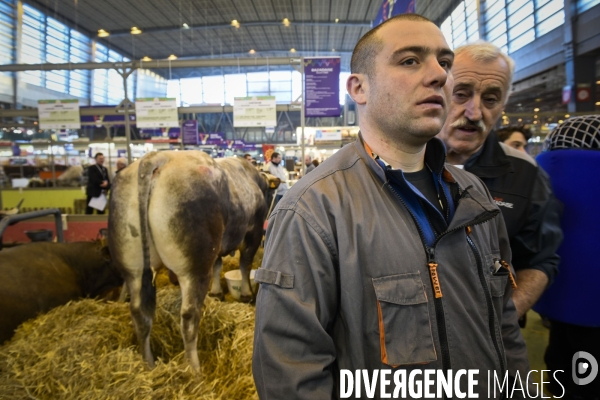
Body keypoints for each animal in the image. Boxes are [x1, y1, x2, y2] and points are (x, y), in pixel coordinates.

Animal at [108, 152, 270, 370]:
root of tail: (158, 157)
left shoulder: (217, 247)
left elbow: (219, 265)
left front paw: (217, 292)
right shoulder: (253, 232)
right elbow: (245, 265)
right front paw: (246, 294)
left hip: (134, 267)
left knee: (139, 313)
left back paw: (149, 363)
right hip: (194, 267)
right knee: (189, 317)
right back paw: (194, 369)